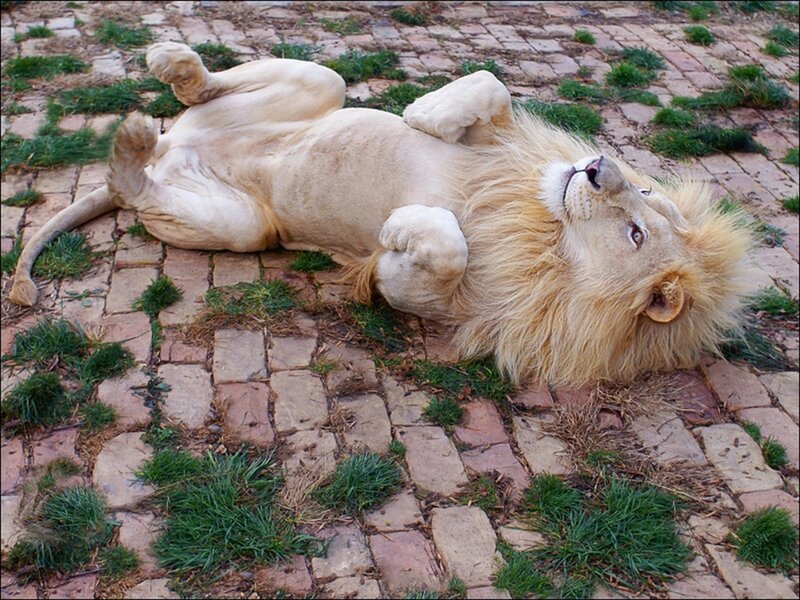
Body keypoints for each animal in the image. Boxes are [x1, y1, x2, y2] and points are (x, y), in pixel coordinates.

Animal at [8, 42, 751, 386]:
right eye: (646, 201)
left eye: (635, 231)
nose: (597, 167)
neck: (542, 231)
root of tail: (174, 149)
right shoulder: (500, 143)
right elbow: (490, 84)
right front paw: (425, 112)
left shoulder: (445, 305)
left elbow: (439, 250)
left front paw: (400, 229)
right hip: (318, 85)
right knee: (232, 86)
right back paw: (173, 62)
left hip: (244, 228)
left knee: (135, 187)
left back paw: (130, 144)